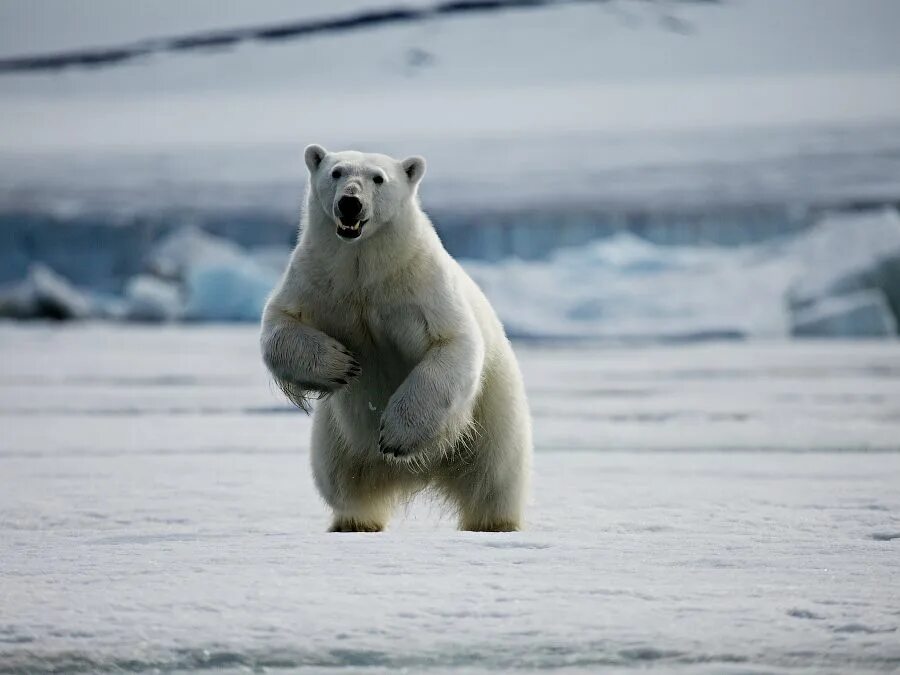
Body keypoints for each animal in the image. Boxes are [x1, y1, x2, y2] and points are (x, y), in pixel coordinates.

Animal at [260, 144, 532, 532]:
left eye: (378, 178)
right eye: (336, 172)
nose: (350, 203)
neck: (365, 267)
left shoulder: (419, 285)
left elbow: (451, 341)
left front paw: (395, 436)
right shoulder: (316, 278)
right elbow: (279, 325)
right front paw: (341, 364)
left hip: (494, 423)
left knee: (494, 482)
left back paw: (494, 523)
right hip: (336, 438)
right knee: (340, 480)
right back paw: (353, 522)